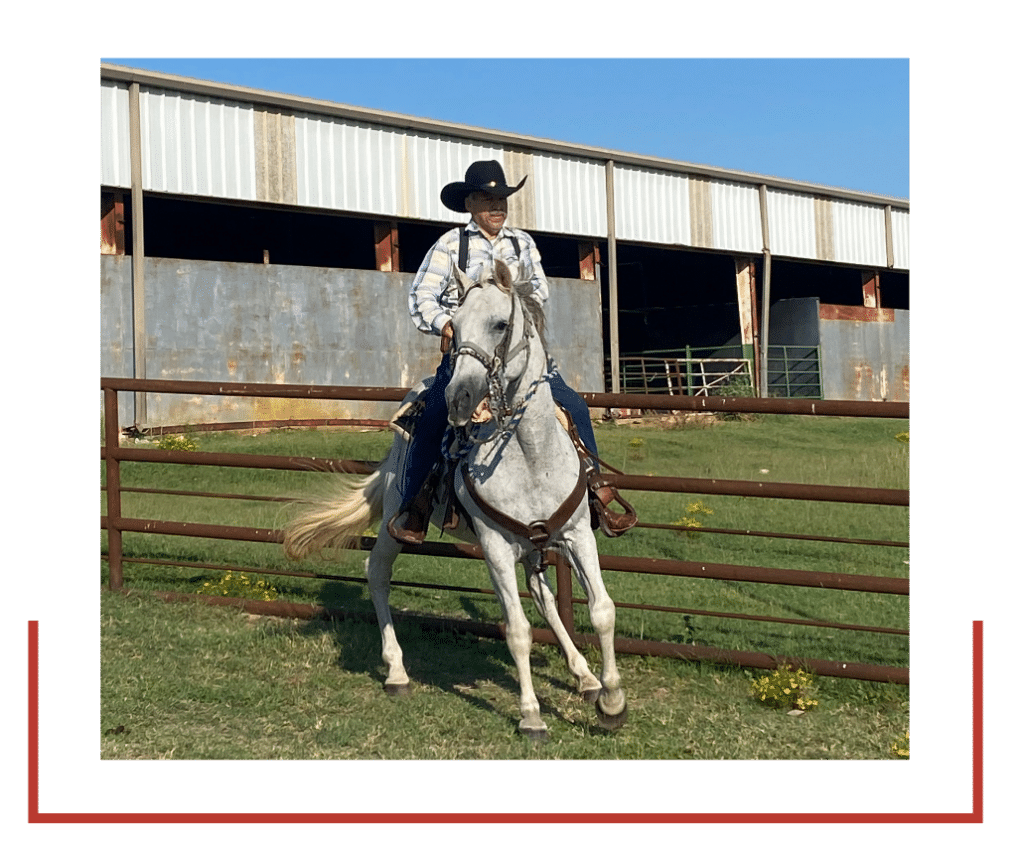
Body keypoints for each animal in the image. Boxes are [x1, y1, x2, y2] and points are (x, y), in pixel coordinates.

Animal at [284, 260, 626, 737]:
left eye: (500, 324)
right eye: (455, 325)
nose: (459, 398)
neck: (530, 454)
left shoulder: (577, 535)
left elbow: (602, 611)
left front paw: (612, 701)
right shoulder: (496, 547)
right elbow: (516, 629)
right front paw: (531, 716)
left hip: (533, 547)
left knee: (541, 594)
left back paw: (586, 677)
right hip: (396, 519)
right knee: (377, 573)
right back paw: (396, 672)